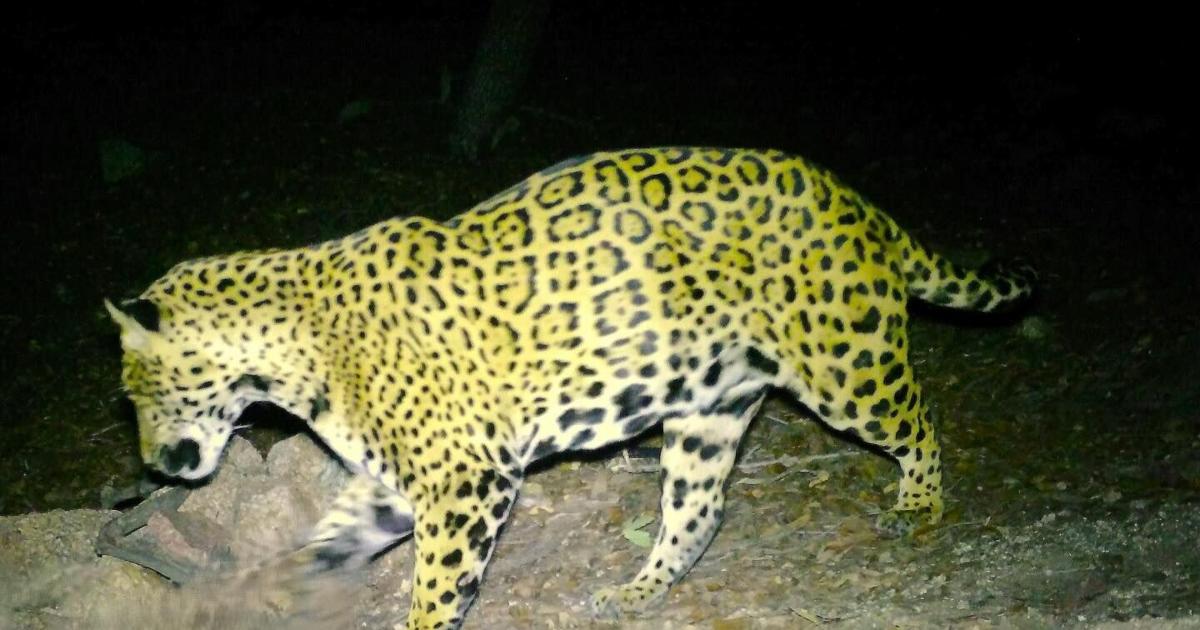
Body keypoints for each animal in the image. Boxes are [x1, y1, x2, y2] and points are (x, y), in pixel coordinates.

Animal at [106, 147, 1035, 629]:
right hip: (708, 409)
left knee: (920, 416)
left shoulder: (466, 479)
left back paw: (920, 505)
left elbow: (437, 583)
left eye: (140, 390)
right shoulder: (399, 484)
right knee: (698, 513)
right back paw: (636, 592)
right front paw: (285, 586)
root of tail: (856, 201)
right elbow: (327, 539)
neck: (289, 351)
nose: (152, 465)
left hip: (845, 364)